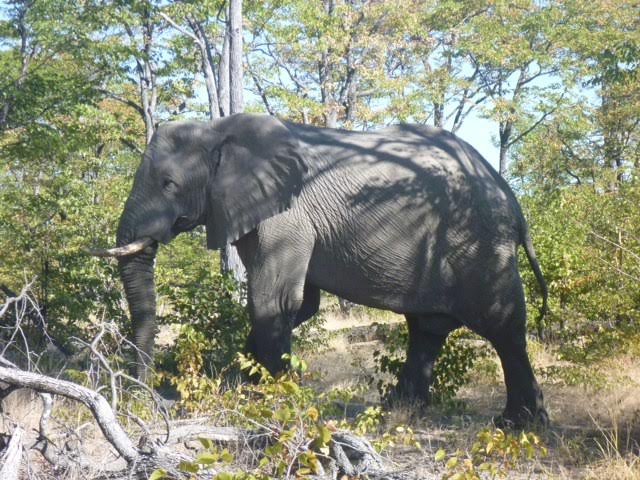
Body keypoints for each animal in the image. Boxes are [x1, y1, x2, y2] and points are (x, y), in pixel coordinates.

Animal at [93, 113, 549, 427]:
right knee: (427, 327)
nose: (142, 396)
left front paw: (270, 401)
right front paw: (238, 387)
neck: (217, 129)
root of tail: (511, 197)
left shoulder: (288, 214)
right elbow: (300, 304)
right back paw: (396, 411)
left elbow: (273, 301)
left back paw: (517, 425)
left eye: (169, 184)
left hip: (478, 243)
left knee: (502, 324)